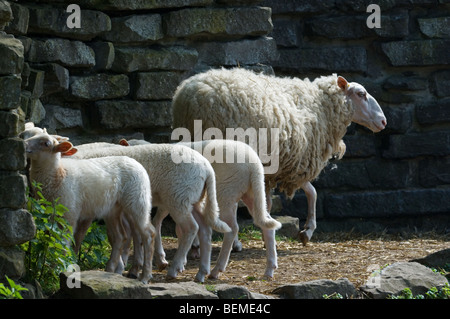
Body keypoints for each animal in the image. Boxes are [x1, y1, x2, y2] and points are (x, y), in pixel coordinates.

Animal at [24, 132, 156, 284]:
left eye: (46, 143)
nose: (24, 144)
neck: (58, 175)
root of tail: (136, 163)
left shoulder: (69, 214)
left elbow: (63, 243)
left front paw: (58, 270)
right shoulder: (48, 214)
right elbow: (50, 240)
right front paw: (47, 267)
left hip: (137, 199)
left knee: (148, 233)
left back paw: (145, 276)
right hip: (113, 208)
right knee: (120, 236)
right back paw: (110, 270)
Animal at [69, 142, 236, 282]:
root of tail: (207, 168)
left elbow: (85, 235)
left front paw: (120, 266)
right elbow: (131, 234)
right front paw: (130, 267)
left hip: (179, 197)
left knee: (191, 228)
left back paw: (174, 269)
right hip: (193, 199)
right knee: (205, 230)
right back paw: (202, 273)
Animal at [119, 139, 282, 278]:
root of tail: (254, 164)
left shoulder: (173, 199)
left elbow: (162, 225)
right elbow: (163, 224)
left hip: (224, 193)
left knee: (232, 228)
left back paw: (216, 270)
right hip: (251, 192)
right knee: (266, 223)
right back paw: (270, 269)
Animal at [172, 67, 386, 245]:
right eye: (361, 94)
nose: (383, 121)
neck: (320, 106)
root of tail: (188, 97)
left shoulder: (285, 165)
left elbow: (304, 193)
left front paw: (292, 231)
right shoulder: (298, 163)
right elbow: (311, 192)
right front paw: (306, 230)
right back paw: (229, 242)